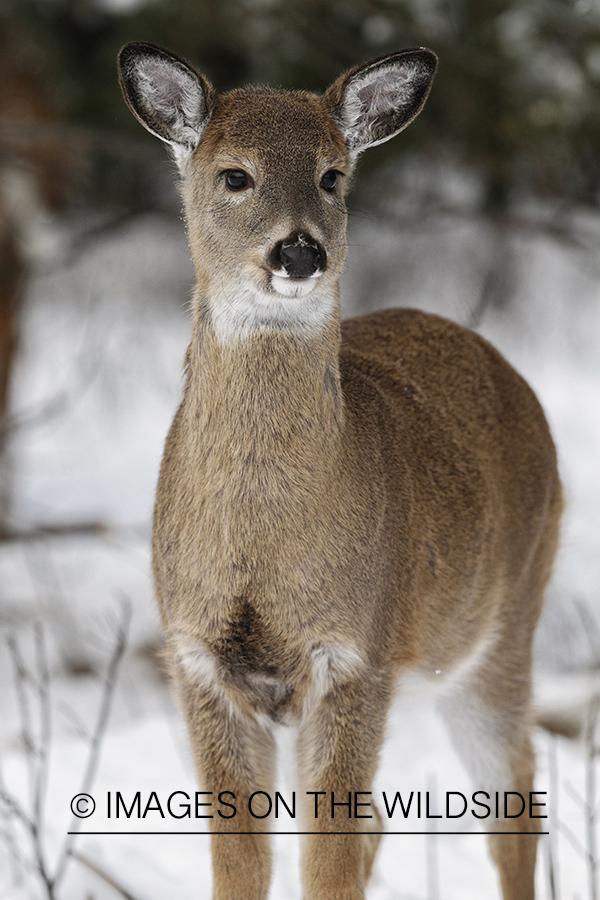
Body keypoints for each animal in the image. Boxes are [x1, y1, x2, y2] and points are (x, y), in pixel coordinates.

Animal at [117, 42, 564, 900]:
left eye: (332, 176)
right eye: (235, 175)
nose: (300, 250)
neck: (261, 548)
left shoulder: (356, 654)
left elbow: (326, 862)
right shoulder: (198, 661)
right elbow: (244, 866)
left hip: (502, 628)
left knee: (515, 800)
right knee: (391, 819)